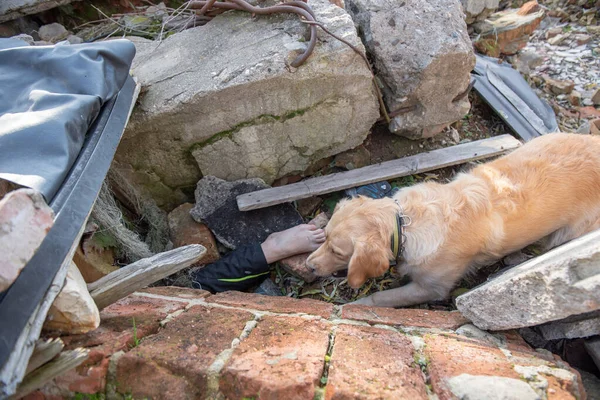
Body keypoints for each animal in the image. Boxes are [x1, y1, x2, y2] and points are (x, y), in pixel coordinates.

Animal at [308, 133, 600, 308]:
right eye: (325, 238)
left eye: (337, 252)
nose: (309, 266)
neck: (407, 224)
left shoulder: (432, 288)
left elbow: (383, 297)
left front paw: (356, 306)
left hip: (569, 233)